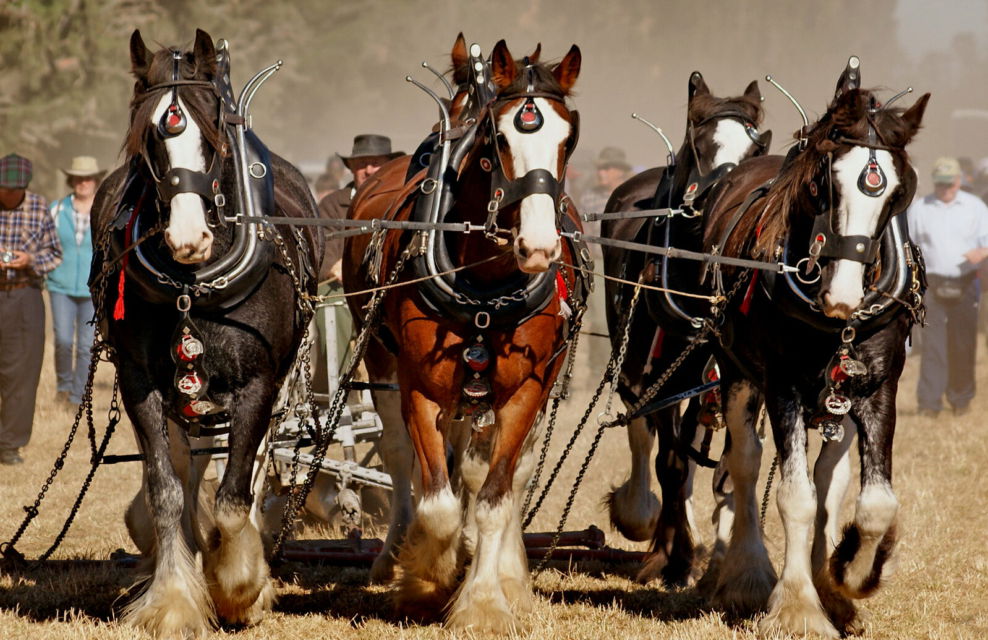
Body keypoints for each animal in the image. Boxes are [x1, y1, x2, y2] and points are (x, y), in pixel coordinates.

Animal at [89, 29, 321, 637]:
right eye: (148, 136)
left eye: (213, 135)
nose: (188, 237)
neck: (193, 285)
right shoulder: (141, 382)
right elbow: (166, 491)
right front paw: (173, 598)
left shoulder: (258, 385)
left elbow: (236, 496)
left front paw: (239, 587)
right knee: (186, 467)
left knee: (249, 470)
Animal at [342, 35, 586, 632]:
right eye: (497, 138)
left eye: (568, 137)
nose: (539, 246)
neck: (485, 282)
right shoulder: (421, 387)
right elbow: (437, 501)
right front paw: (426, 581)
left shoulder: (526, 389)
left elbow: (495, 496)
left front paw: (485, 601)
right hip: (383, 362)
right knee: (402, 457)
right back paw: (396, 555)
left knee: (498, 475)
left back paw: (507, 575)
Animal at [600, 72, 770, 585]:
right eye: (700, 143)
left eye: (757, 149)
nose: (726, 198)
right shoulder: (666, 373)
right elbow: (670, 461)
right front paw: (670, 554)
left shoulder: (732, 374)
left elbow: (726, 461)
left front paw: (719, 551)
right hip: (636, 364)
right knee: (645, 434)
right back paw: (642, 514)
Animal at [694, 59, 929, 636]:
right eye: (824, 182)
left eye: (897, 193)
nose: (843, 296)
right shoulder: (784, 388)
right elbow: (794, 497)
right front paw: (798, 606)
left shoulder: (877, 388)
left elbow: (872, 501)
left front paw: (848, 574)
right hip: (736, 372)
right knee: (746, 460)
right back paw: (747, 575)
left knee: (830, 479)